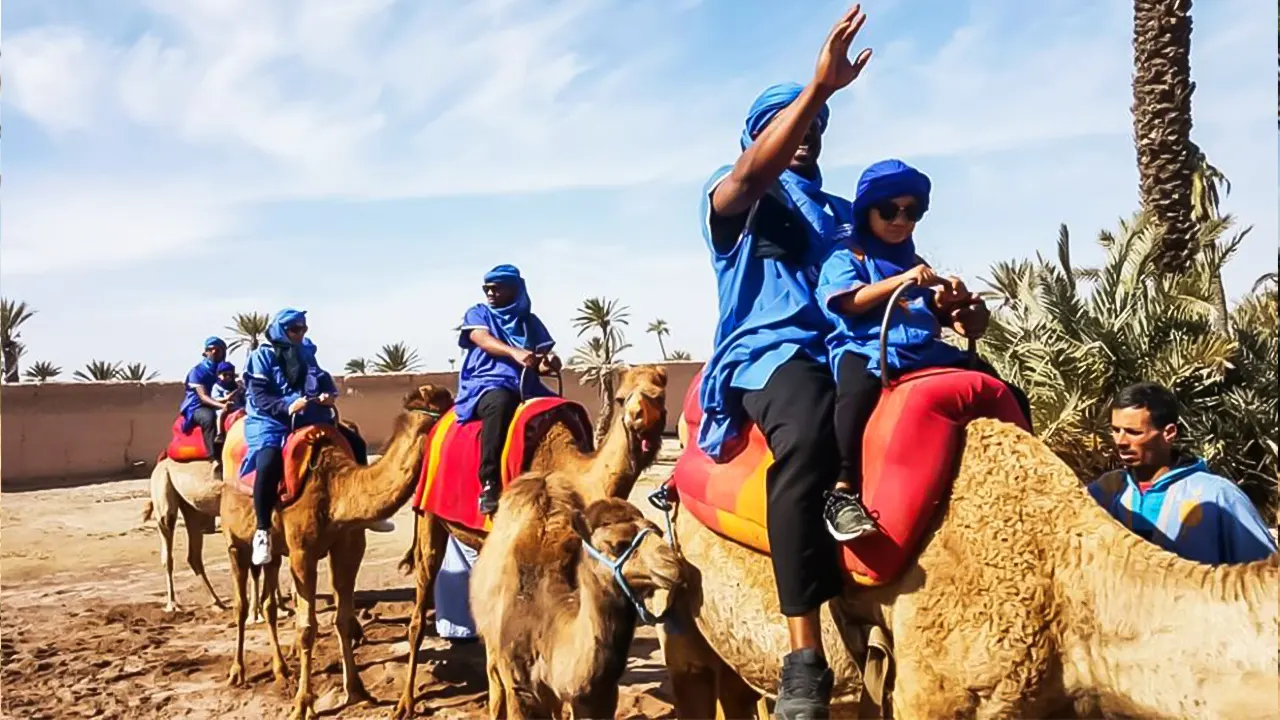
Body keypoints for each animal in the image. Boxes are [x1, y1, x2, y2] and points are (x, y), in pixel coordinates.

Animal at [221, 384, 455, 717]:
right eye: (445, 406)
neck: (335, 489)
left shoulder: (348, 546)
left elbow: (342, 619)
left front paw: (358, 691)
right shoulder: (302, 552)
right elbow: (307, 628)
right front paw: (303, 705)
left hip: (275, 552)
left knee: (268, 601)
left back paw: (281, 670)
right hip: (234, 539)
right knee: (241, 603)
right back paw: (237, 672)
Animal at [473, 474, 691, 712]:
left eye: (658, 531)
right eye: (616, 545)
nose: (672, 565)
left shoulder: (599, 695)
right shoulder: (519, 687)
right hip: (491, 643)